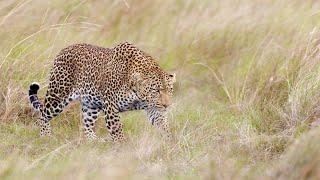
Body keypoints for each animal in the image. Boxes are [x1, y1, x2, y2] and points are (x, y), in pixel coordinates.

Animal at [28, 42, 175, 142]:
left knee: (86, 124)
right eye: (156, 91)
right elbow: (116, 129)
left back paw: (94, 141)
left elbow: (163, 124)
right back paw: (45, 136)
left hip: (90, 105)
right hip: (58, 96)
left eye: (170, 91)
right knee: (42, 115)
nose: (167, 105)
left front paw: (171, 143)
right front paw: (123, 146)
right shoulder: (110, 106)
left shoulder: (154, 108)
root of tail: (64, 50)